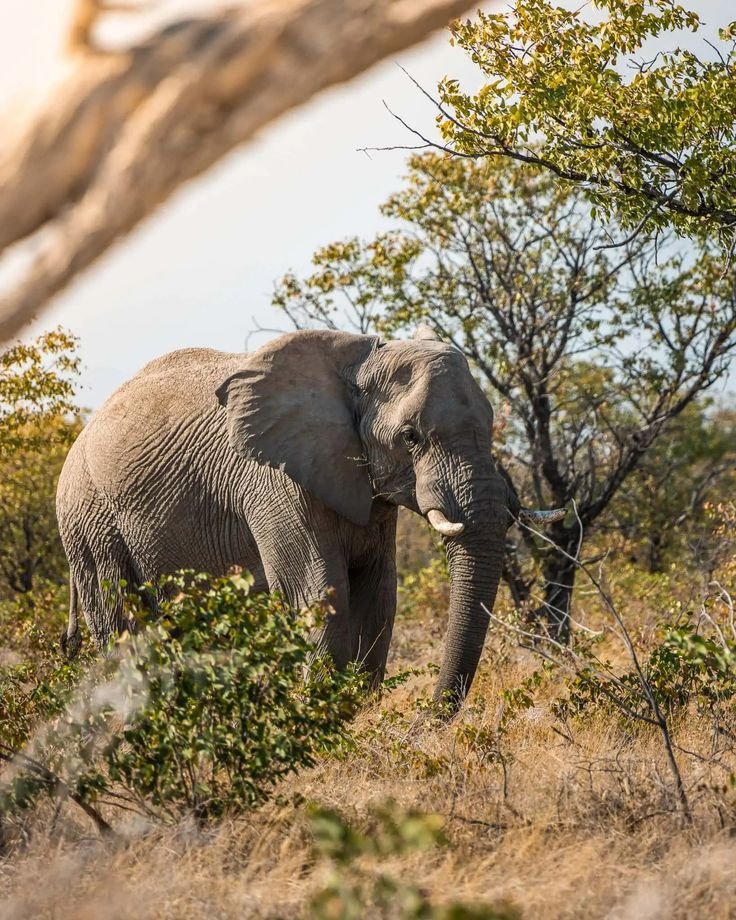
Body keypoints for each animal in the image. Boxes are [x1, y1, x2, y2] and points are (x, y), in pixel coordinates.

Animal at [56, 326, 562, 710]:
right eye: (410, 437)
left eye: (491, 423)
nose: (430, 717)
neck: (358, 364)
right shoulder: (273, 483)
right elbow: (320, 595)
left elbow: (377, 597)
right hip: (90, 522)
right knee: (121, 626)